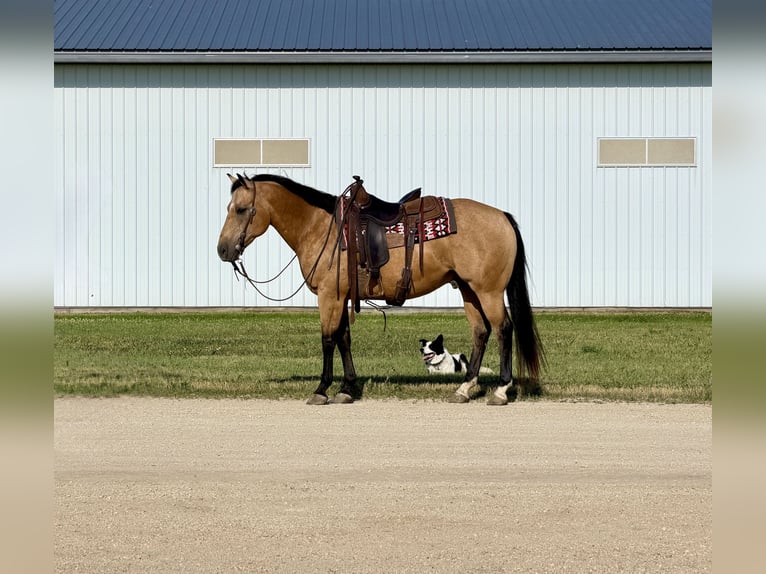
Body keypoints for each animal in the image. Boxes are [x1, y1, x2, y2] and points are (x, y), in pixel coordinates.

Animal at [216, 174, 543, 405]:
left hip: (488, 292)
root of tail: (502, 216)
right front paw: (347, 388)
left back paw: (500, 390)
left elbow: (327, 340)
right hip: (469, 290)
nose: (223, 250)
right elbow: (344, 339)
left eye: (242, 209)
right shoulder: (342, 297)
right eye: (229, 208)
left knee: (503, 329)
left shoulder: (329, 297)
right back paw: (465, 388)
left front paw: (322, 389)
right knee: (481, 332)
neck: (321, 228)